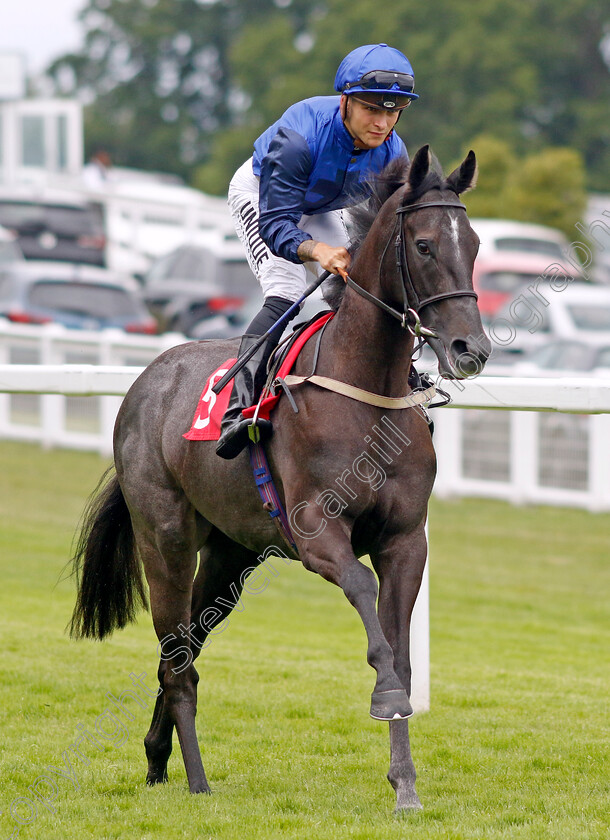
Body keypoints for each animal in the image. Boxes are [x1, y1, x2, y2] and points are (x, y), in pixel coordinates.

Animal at [69, 146, 490, 812]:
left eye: (472, 244)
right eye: (423, 245)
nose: (469, 348)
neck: (364, 388)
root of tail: (145, 382)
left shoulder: (405, 541)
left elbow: (400, 650)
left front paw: (405, 783)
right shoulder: (316, 531)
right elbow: (366, 602)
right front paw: (386, 699)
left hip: (229, 554)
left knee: (184, 645)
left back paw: (158, 758)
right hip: (164, 535)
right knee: (176, 659)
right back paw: (196, 779)